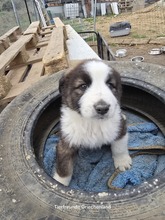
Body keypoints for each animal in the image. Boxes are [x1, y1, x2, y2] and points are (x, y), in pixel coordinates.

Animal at [53, 58, 132, 186]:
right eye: (83, 86)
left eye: (110, 85)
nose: (102, 108)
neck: (92, 123)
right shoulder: (67, 141)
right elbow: (64, 166)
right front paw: (59, 183)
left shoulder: (119, 127)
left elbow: (119, 146)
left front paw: (122, 161)